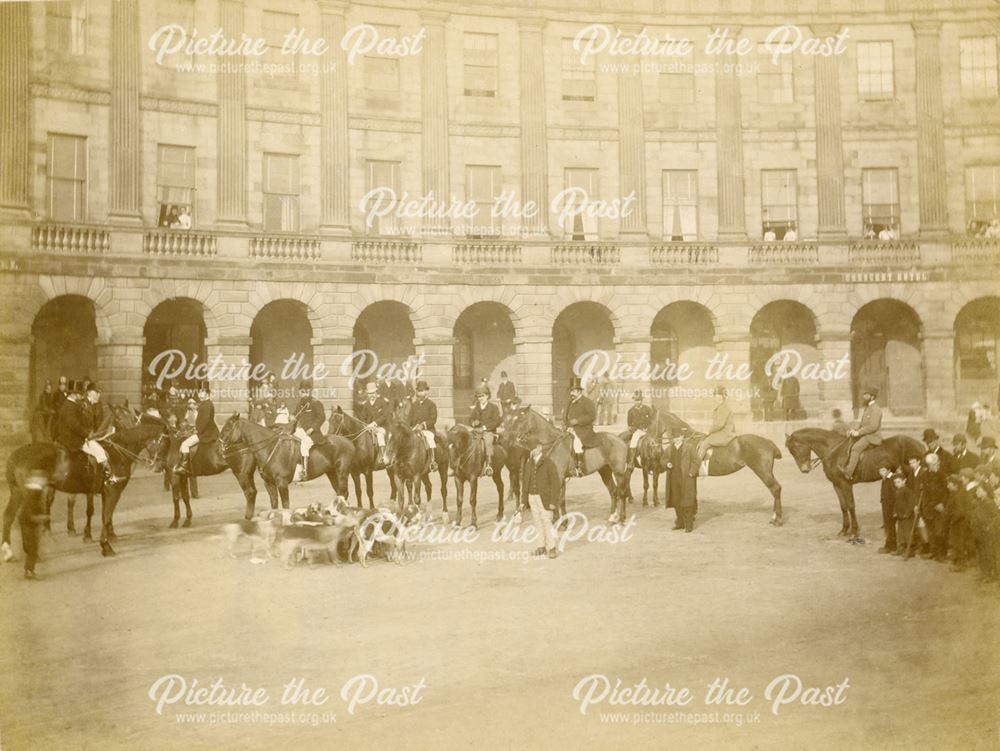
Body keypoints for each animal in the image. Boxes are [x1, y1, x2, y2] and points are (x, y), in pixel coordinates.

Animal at [1, 414, 168, 572]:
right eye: (164, 444)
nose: (159, 467)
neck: (118, 452)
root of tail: (16, 455)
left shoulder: (104, 493)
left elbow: (104, 516)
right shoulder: (113, 492)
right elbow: (106, 517)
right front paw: (106, 547)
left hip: (17, 492)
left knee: (9, 516)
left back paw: (10, 553)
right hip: (29, 493)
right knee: (23, 518)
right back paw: (31, 553)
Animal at [219, 414, 356, 508]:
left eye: (227, 428)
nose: (219, 446)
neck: (270, 448)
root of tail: (348, 441)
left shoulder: (282, 484)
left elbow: (285, 506)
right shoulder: (269, 484)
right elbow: (274, 506)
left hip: (342, 473)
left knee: (344, 493)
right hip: (332, 473)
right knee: (340, 494)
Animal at [784, 428, 924, 540]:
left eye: (796, 447)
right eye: (790, 451)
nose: (804, 469)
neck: (834, 451)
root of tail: (918, 444)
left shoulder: (846, 484)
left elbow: (851, 506)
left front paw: (854, 531)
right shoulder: (836, 484)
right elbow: (843, 506)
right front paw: (844, 530)